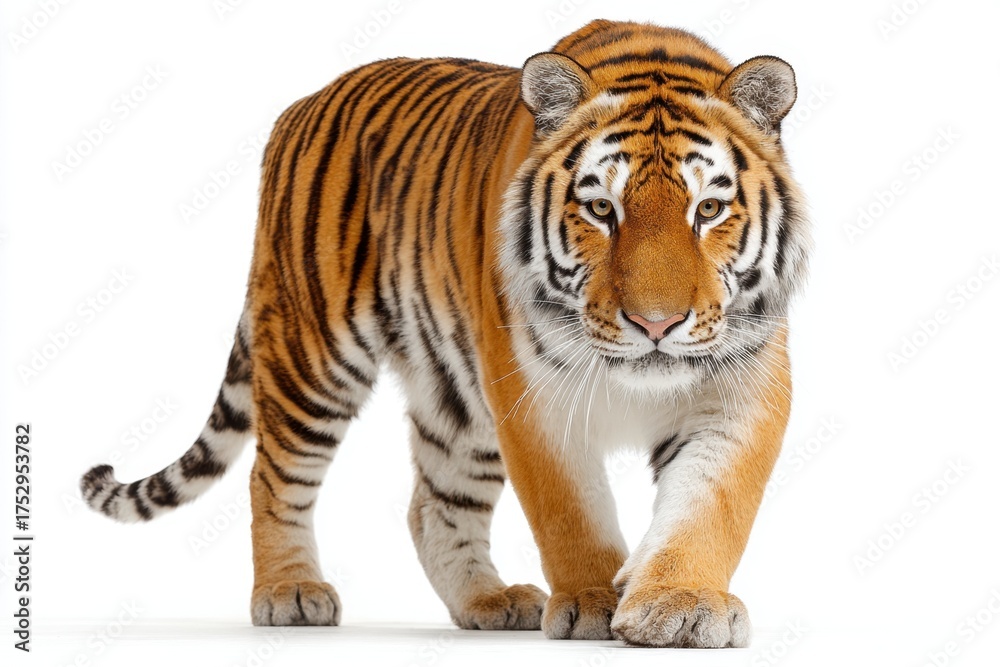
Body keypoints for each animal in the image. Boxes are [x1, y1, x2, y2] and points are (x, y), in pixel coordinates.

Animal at [80, 19, 809, 647]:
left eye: (708, 209)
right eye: (602, 209)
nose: (655, 324)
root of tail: (301, 105)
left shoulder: (742, 389)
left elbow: (712, 505)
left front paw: (679, 604)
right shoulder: (529, 394)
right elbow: (569, 510)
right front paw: (594, 600)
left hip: (457, 400)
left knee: (434, 505)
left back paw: (488, 601)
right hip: (313, 354)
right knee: (272, 476)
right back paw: (289, 591)